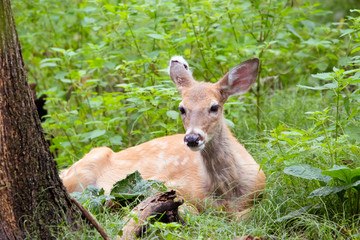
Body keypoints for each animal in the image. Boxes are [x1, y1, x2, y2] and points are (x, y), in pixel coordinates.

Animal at [61, 56, 264, 218]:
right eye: (182, 108)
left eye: (214, 107)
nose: (192, 138)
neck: (227, 193)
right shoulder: (162, 184)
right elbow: (191, 210)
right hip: (82, 171)